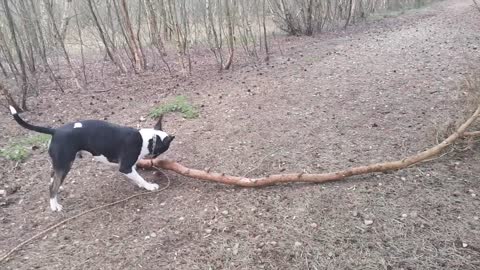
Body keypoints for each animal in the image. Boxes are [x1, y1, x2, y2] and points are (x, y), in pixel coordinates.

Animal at [7, 105, 174, 211]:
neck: (148, 139)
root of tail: (55, 131)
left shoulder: (129, 167)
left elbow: (136, 176)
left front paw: (141, 184)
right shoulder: (125, 167)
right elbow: (139, 177)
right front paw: (148, 186)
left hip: (58, 164)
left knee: (52, 181)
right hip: (65, 164)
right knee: (52, 186)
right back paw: (55, 206)